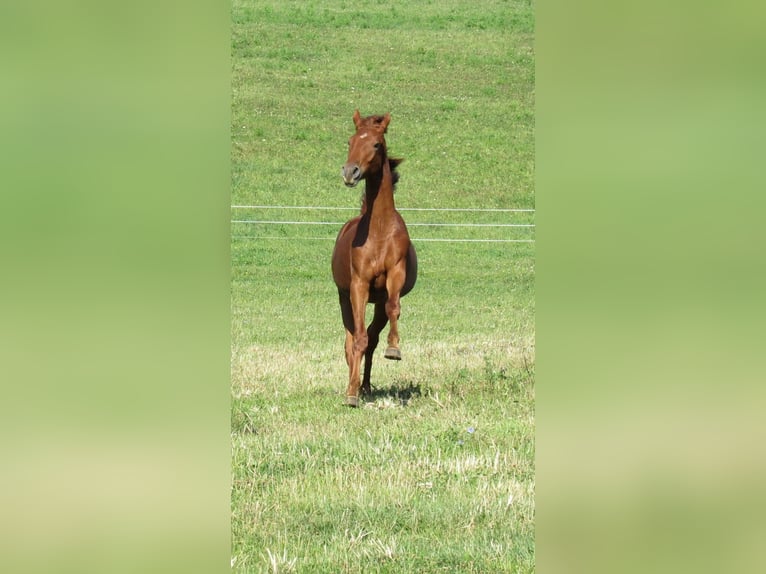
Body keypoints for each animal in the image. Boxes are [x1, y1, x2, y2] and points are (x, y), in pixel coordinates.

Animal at [331, 110, 418, 407]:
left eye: (377, 144)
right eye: (350, 141)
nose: (350, 172)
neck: (379, 230)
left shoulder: (395, 276)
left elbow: (393, 310)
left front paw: (394, 349)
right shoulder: (359, 285)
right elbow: (357, 340)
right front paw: (351, 393)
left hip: (376, 301)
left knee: (372, 336)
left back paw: (366, 386)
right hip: (344, 297)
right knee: (352, 340)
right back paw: (353, 386)